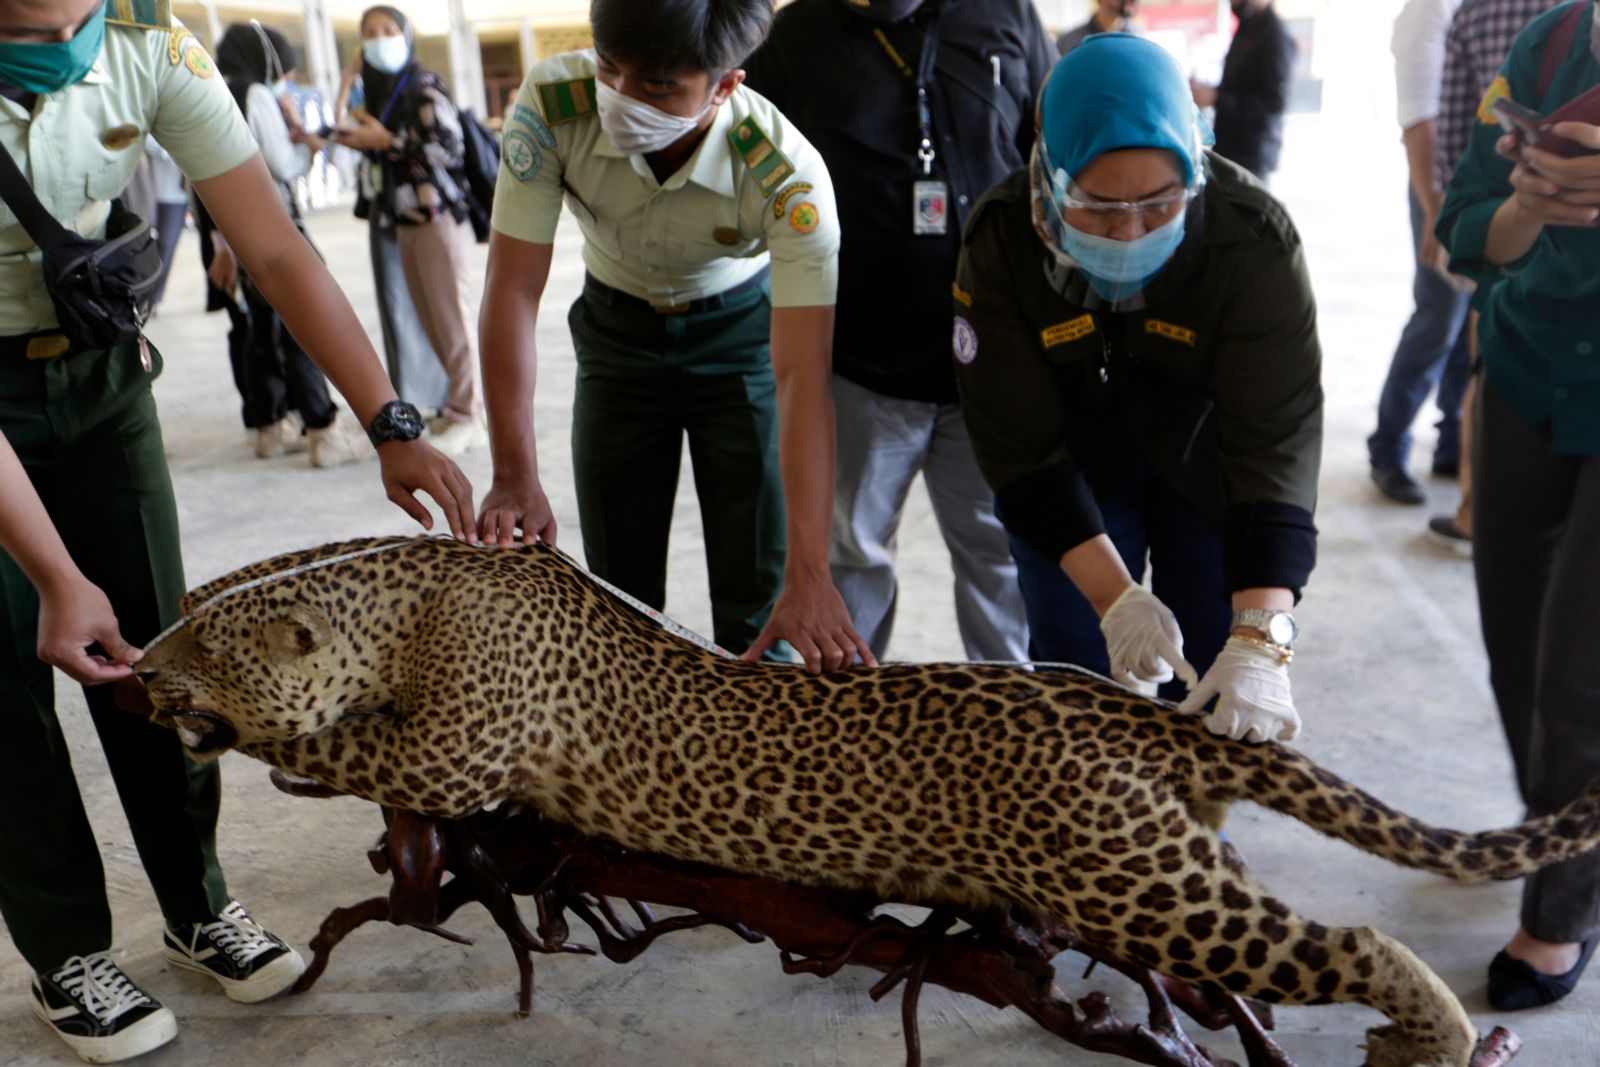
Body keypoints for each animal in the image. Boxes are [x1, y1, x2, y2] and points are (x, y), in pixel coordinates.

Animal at [134, 543, 1600, 1067]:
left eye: (194, 643)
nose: (131, 670)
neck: (410, 597)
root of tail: (1128, 709)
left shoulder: (457, 751)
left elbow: (368, 753)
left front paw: (280, 747)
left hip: (1138, 882)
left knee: (1338, 943)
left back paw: (1433, 1029)